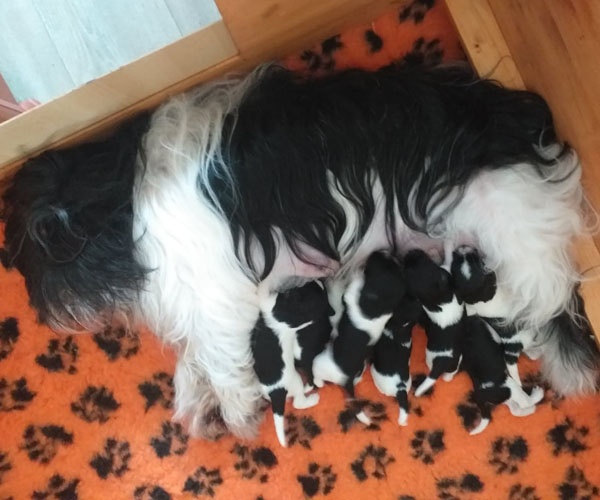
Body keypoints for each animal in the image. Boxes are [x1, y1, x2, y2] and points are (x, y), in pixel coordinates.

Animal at [3, 63, 597, 438]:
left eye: (35, 267)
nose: (39, 309)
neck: (122, 194)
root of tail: (529, 127)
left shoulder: (212, 286)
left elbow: (218, 353)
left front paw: (234, 411)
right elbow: (199, 355)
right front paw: (201, 403)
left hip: (506, 216)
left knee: (541, 298)